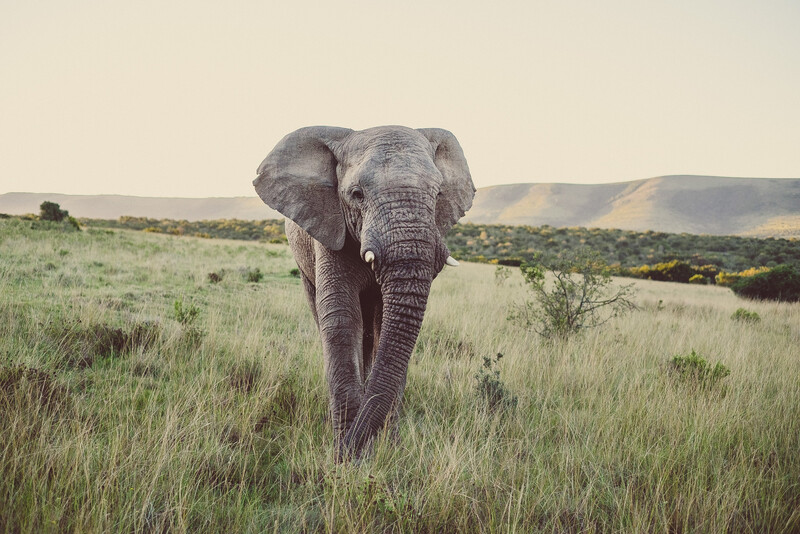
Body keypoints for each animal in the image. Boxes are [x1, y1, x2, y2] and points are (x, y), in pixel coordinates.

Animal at [253, 125, 475, 459]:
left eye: (438, 195)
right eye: (357, 194)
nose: (346, 453)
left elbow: (387, 326)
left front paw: (387, 448)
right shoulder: (329, 228)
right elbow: (342, 319)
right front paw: (347, 455)